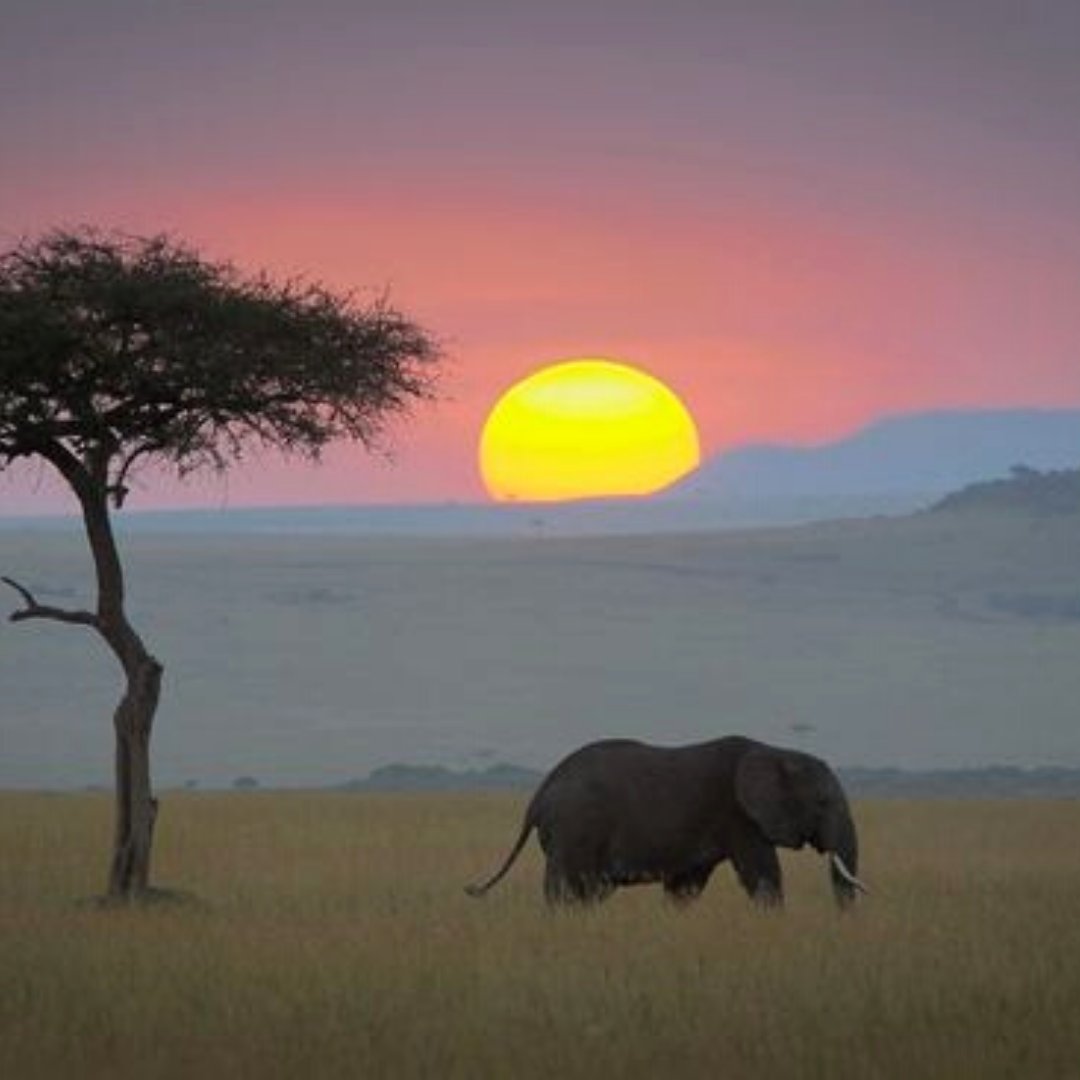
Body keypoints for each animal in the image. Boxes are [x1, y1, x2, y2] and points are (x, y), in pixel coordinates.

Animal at [466, 738, 868, 907]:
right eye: (822, 802)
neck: (776, 751)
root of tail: (538, 794)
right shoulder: (740, 818)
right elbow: (764, 875)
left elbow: (685, 887)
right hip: (575, 828)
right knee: (567, 888)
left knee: (589, 890)